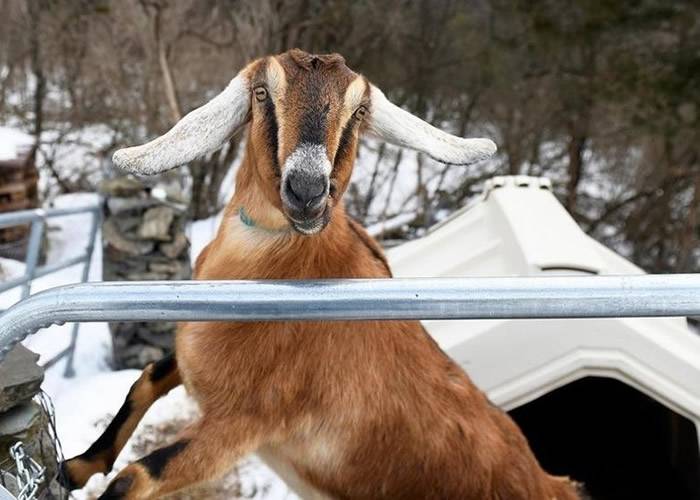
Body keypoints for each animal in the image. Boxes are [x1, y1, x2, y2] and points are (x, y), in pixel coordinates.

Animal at [60, 49, 580, 500]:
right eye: (262, 93)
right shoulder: (193, 365)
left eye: (360, 110)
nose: (308, 190)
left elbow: (136, 477)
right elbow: (146, 377)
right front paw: (74, 468)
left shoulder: (243, 422)